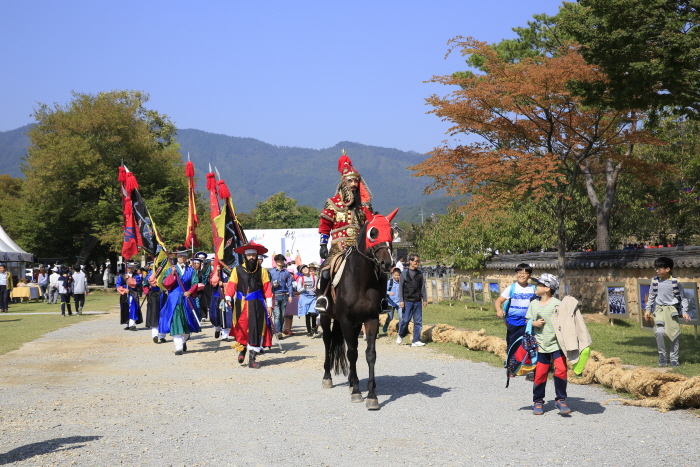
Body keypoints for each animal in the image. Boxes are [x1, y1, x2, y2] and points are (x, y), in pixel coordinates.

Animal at [318, 208, 396, 410]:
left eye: (391, 232)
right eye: (373, 233)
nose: (387, 263)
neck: (361, 280)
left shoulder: (371, 319)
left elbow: (370, 354)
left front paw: (371, 396)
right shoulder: (346, 319)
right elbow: (352, 352)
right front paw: (356, 392)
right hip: (326, 316)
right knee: (327, 341)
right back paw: (328, 378)